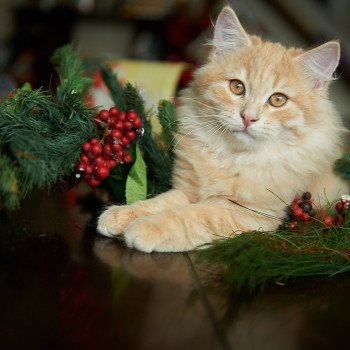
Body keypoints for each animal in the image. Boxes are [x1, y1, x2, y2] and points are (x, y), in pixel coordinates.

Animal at [95, 5, 348, 252]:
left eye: (278, 100)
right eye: (237, 87)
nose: (248, 117)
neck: (231, 158)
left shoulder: (250, 214)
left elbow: (191, 217)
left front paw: (147, 228)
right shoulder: (186, 190)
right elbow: (159, 202)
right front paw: (122, 214)